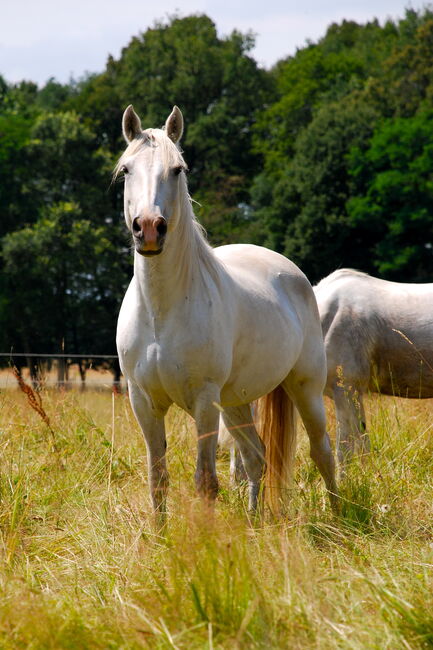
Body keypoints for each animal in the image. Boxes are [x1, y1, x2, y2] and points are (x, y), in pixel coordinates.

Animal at [115, 102, 338, 516]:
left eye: (178, 169)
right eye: (126, 170)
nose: (149, 229)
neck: (161, 314)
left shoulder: (204, 401)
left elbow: (206, 482)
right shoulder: (144, 402)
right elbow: (158, 481)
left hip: (306, 388)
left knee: (322, 452)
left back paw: (339, 514)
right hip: (236, 402)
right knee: (256, 458)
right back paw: (253, 521)